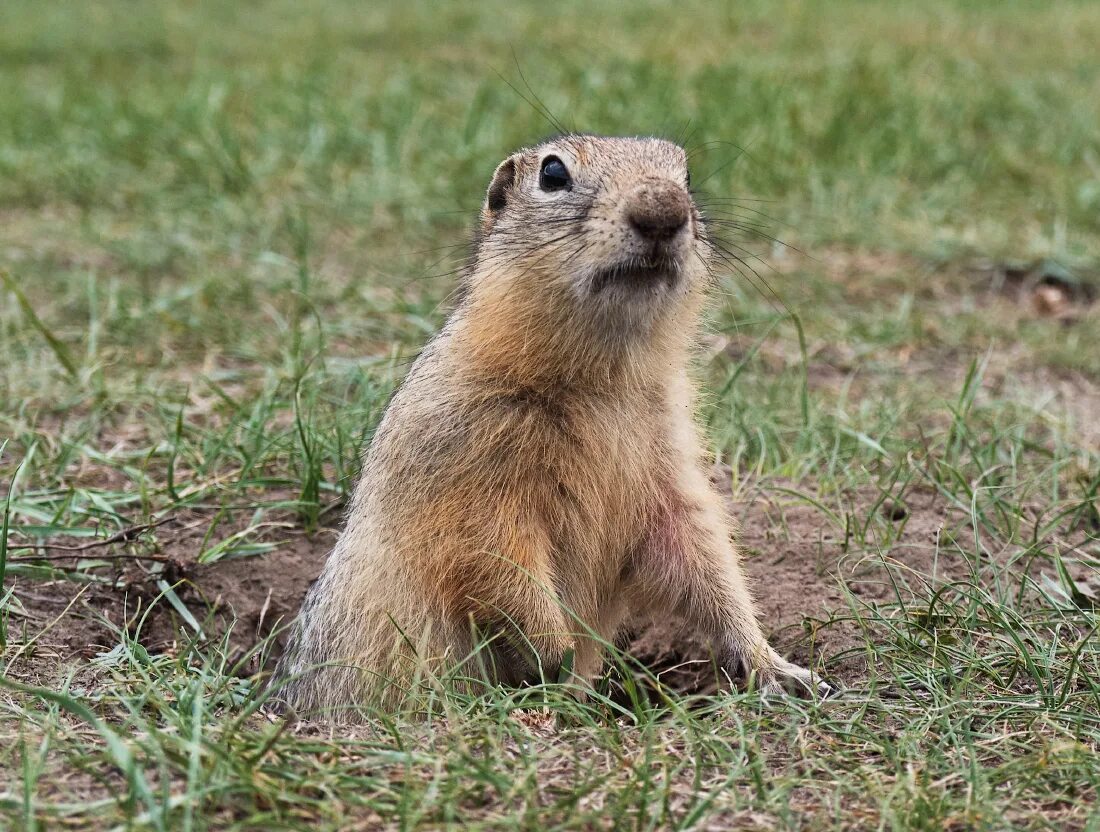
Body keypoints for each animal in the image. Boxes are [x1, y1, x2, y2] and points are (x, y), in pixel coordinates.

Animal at [275, 134, 827, 713]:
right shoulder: (463, 453)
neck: (602, 381)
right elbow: (491, 554)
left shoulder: (670, 466)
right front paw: (555, 660)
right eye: (553, 173)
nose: (663, 209)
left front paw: (778, 666)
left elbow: (698, 551)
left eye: (688, 176)